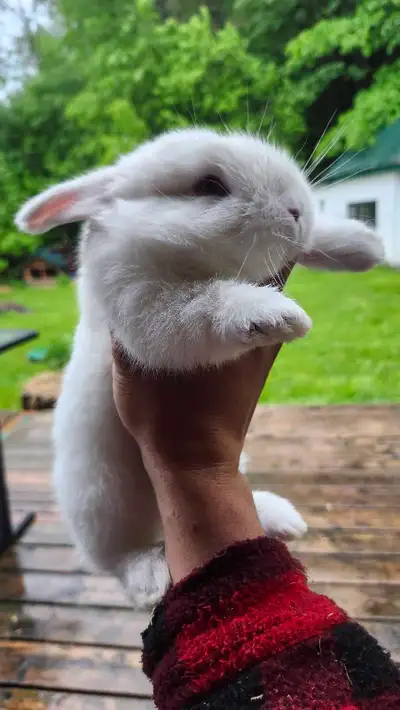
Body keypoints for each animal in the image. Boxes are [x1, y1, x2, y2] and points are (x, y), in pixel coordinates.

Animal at [16, 128, 384, 609]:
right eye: (209, 186)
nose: (297, 211)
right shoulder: (147, 308)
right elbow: (207, 304)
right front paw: (276, 314)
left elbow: (312, 243)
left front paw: (364, 245)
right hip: (103, 508)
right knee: (120, 561)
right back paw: (150, 579)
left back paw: (282, 516)